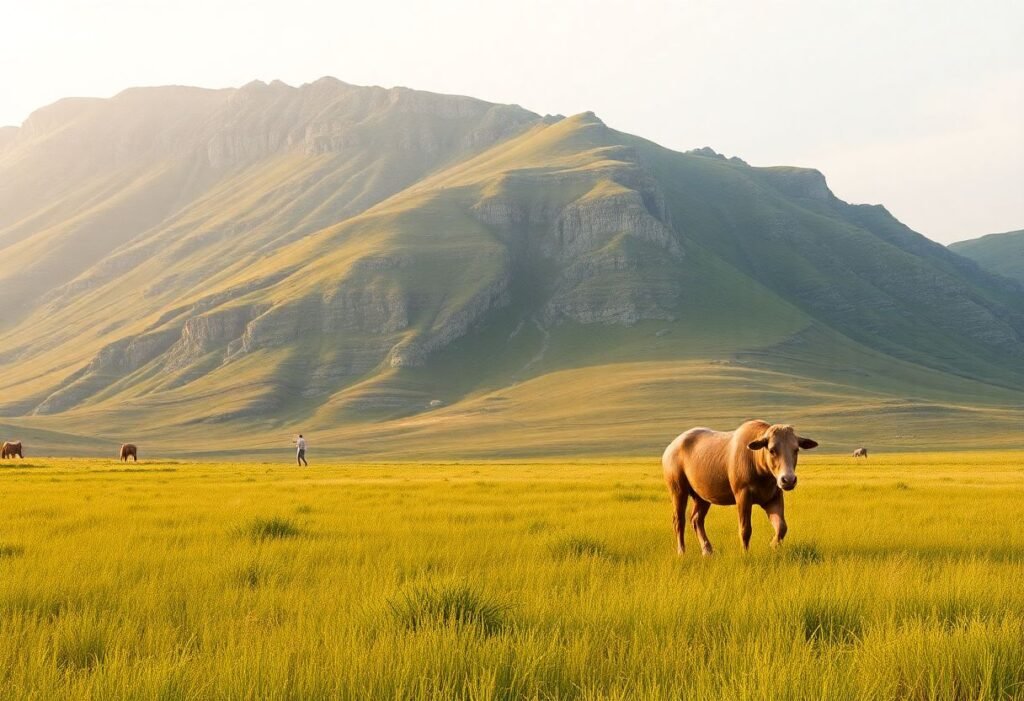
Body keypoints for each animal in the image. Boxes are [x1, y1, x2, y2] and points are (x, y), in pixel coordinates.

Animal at [663, 417, 815, 556]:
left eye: (796, 449)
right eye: (772, 450)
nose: (788, 480)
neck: (759, 466)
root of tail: (669, 449)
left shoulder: (773, 497)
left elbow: (782, 527)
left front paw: (772, 545)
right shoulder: (743, 495)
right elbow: (745, 529)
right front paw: (745, 553)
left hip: (702, 496)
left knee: (696, 519)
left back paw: (707, 550)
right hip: (678, 490)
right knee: (678, 520)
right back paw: (682, 552)